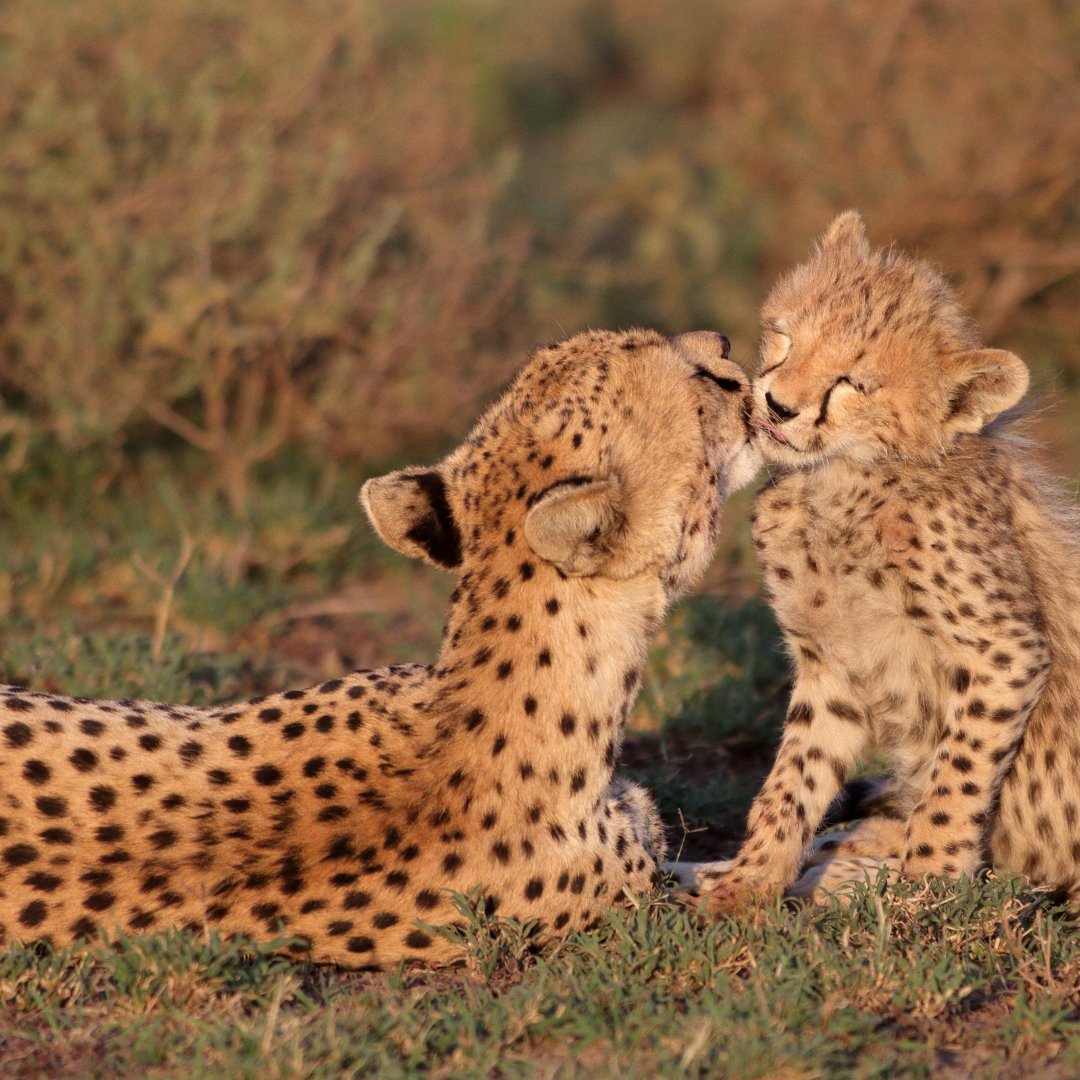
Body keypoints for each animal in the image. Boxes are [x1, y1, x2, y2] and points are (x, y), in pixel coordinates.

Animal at [676, 211, 1080, 913]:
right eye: (786, 336)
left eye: (853, 383)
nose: (777, 406)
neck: (840, 482)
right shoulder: (831, 665)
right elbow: (794, 778)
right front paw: (749, 883)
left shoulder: (1008, 651)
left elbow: (958, 775)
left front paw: (929, 884)